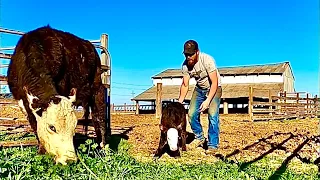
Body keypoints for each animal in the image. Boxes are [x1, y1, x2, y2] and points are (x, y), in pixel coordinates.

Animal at [6, 25, 107, 165]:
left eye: (74, 126)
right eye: (52, 127)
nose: (70, 160)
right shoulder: (24, 102)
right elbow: (35, 125)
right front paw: (41, 152)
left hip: (98, 89)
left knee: (99, 117)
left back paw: (102, 149)